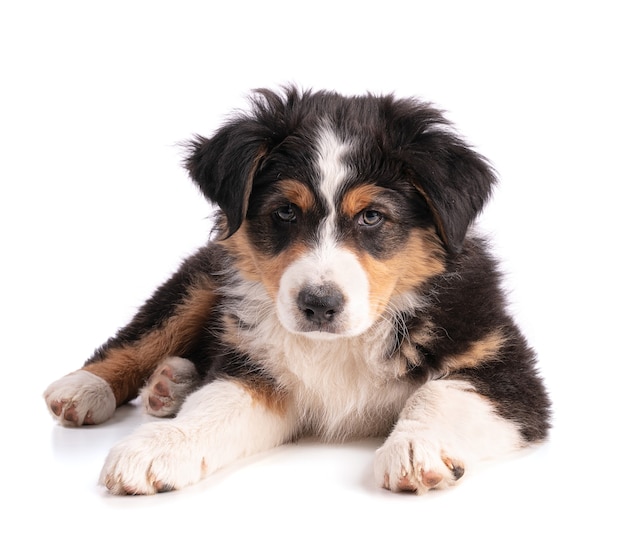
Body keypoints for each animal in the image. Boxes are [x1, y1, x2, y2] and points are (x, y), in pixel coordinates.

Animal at [44, 87, 548, 494]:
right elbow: (215, 405)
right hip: (201, 278)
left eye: (372, 217)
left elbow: (439, 393)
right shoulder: (259, 370)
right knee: (148, 332)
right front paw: (160, 447)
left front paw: (413, 447)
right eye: (285, 211)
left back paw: (170, 384)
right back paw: (86, 388)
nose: (319, 306)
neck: (344, 343)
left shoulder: (504, 363)